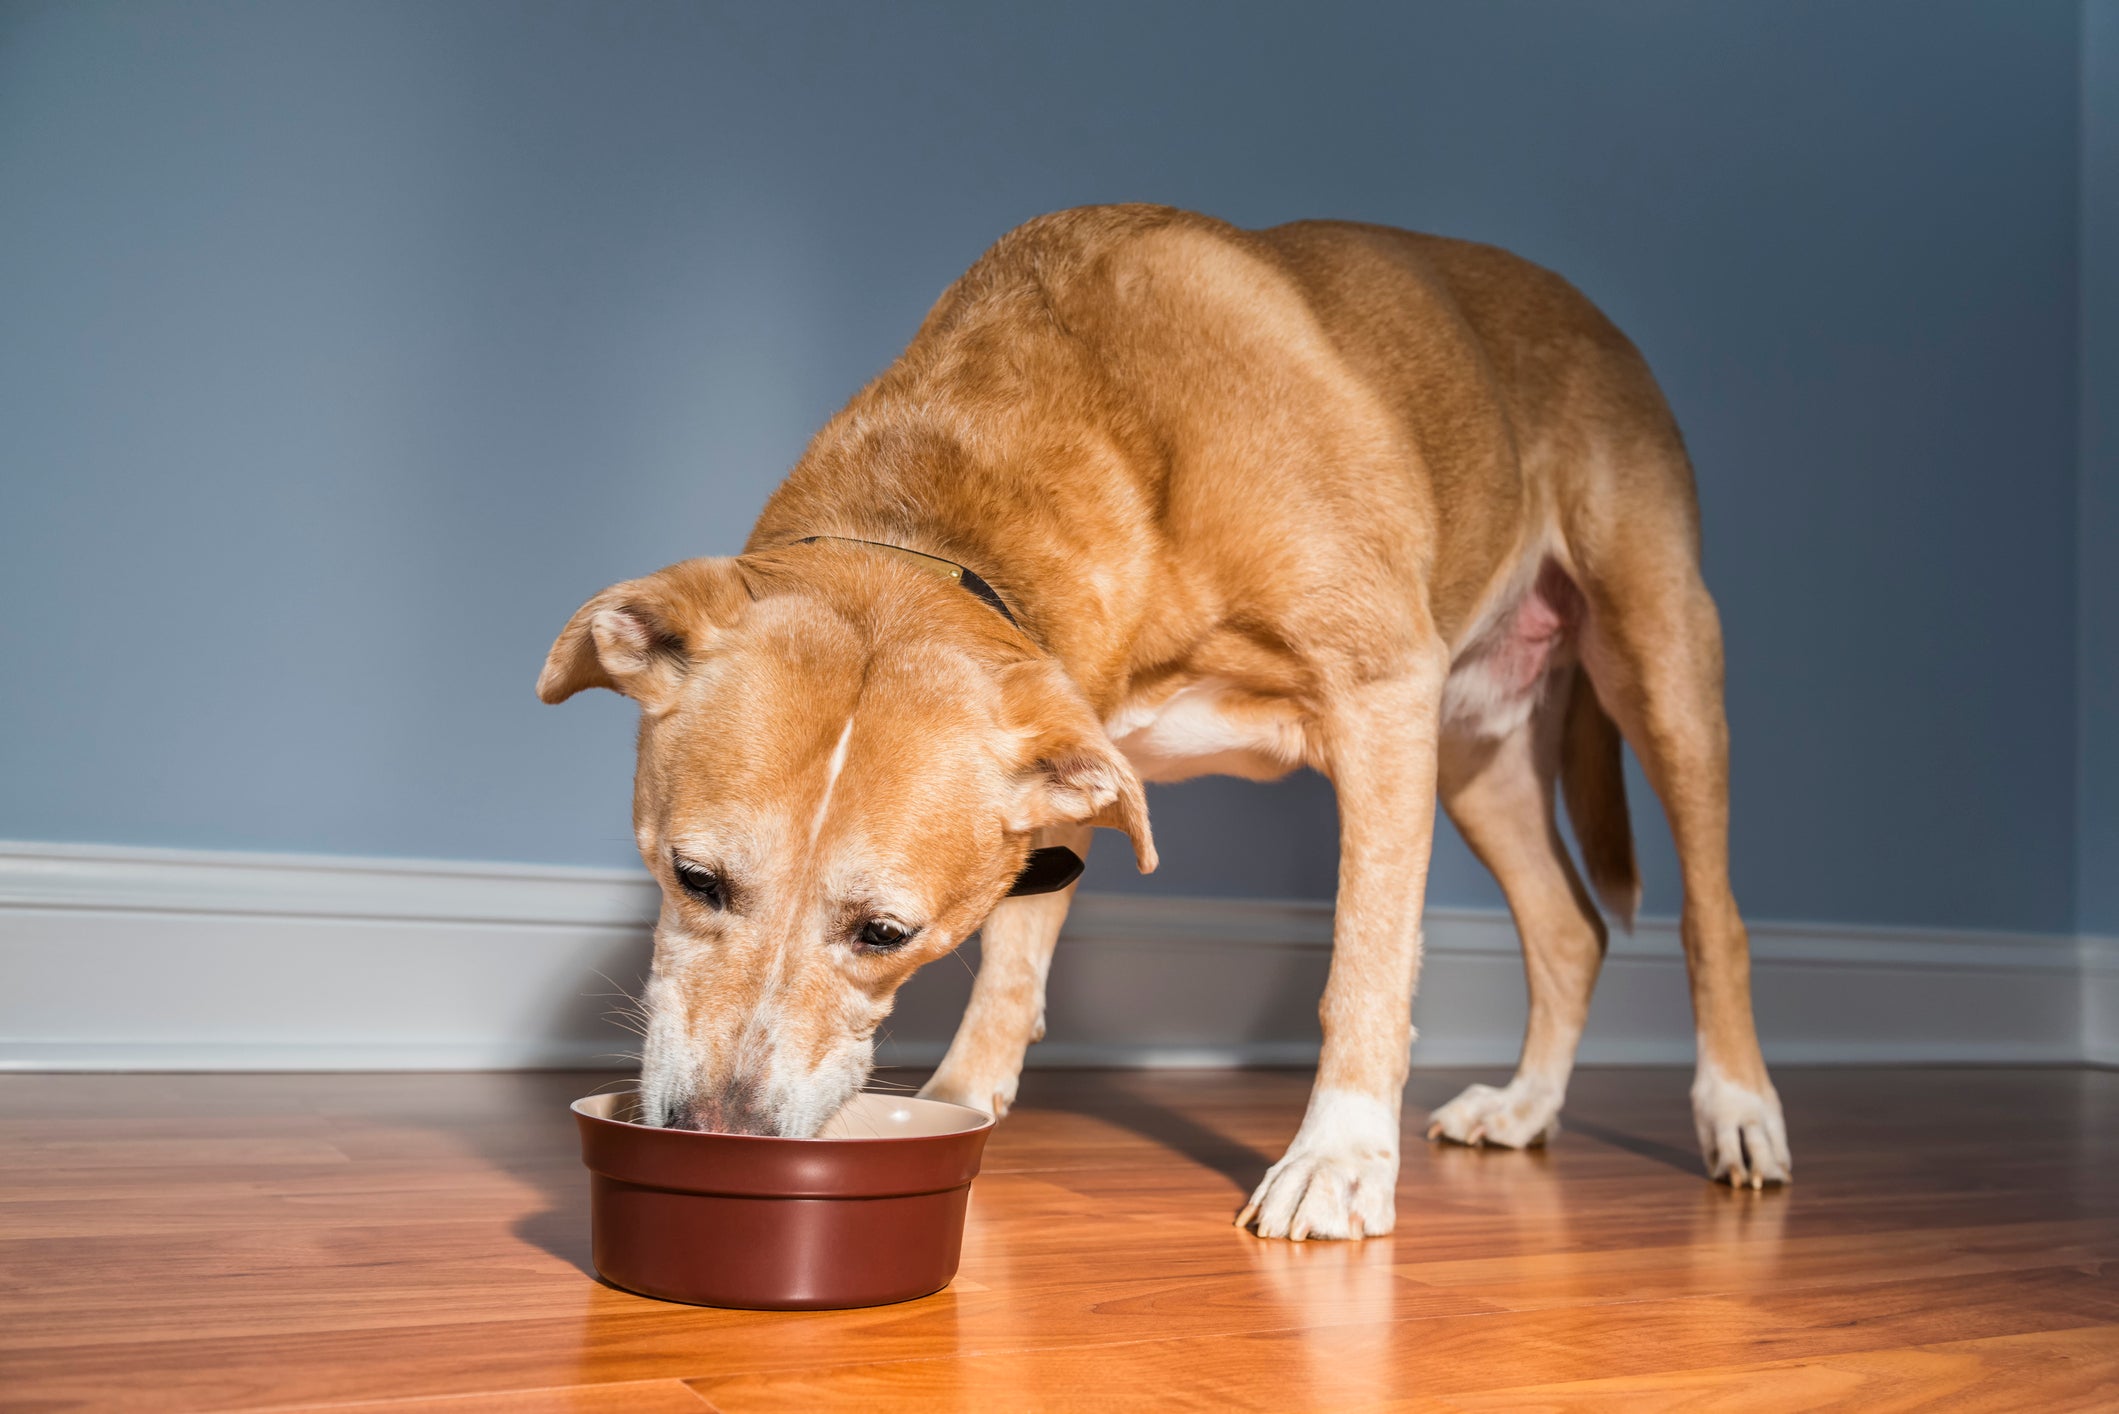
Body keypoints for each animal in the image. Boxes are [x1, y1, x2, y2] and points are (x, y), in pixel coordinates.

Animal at [542, 199, 1788, 1238]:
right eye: (693, 879)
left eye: (883, 934)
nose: (716, 1132)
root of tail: (1590, 314)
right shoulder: (1070, 759)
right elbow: (1014, 961)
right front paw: (962, 1102)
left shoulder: (1383, 693)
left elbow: (1366, 957)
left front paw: (1339, 1158)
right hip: (1475, 752)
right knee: (1570, 929)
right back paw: (1526, 1105)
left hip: (1655, 662)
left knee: (1711, 916)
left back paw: (1736, 1107)